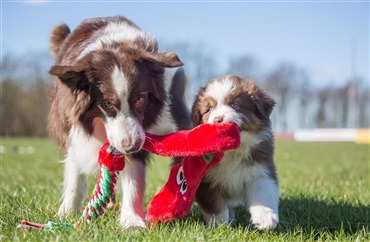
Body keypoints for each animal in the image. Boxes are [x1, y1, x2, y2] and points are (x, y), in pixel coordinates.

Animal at [47, 15, 184, 229]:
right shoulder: (72, 126)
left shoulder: (141, 131)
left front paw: (132, 220)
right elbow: (74, 174)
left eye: (140, 99)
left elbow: (133, 179)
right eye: (108, 103)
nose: (131, 145)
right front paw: (66, 213)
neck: (113, 45)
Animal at [169, 69, 278, 229]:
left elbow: (263, 190)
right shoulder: (205, 179)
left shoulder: (260, 167)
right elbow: (214, 204)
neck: (231, 151)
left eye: (234, 104)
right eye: (210, 108)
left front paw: (266, 218)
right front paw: (220, 224)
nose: (218, 119)